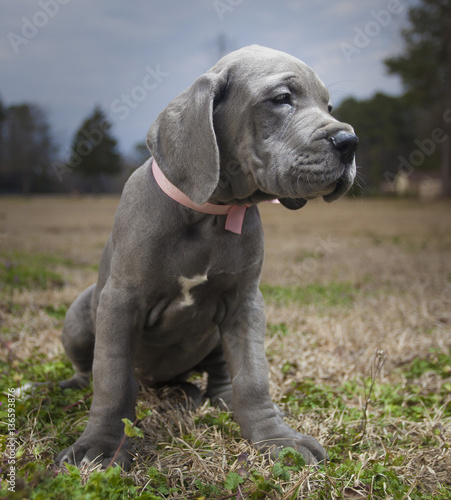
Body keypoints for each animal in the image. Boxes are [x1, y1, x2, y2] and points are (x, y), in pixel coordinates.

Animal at [56, 45, 358, 470]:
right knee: (91, 369)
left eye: (328, 105)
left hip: (212, 336)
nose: (350, 141)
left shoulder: (245, 303)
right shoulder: (120, 300)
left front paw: (276, 438)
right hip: (81, 315)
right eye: (282, 98)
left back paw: (208, 398)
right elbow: (113, 378)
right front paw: (100, 447)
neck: (211, 213)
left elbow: (253, 375)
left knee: (220, 374)